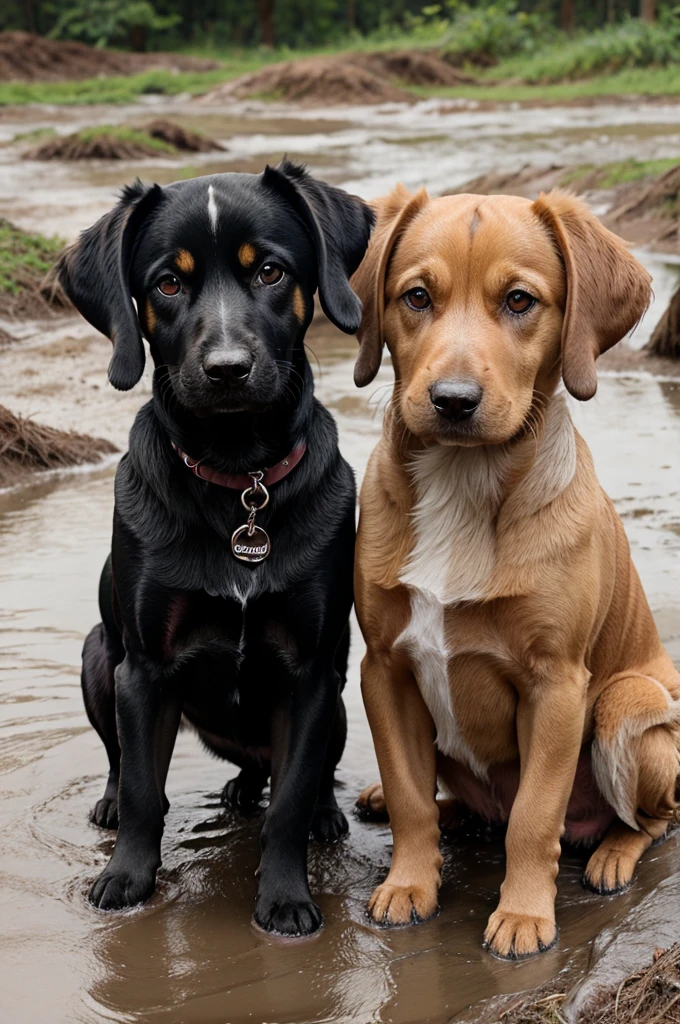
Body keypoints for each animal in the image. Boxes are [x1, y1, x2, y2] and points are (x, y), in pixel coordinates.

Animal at [59, 161, 372, 937]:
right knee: (121, 763)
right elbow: (145, 791)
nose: (228, 367)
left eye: (270, 270)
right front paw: (128, 878)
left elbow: (289, 800)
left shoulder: (309, 673)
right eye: (168, 283)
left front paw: (285, 897)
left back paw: (316, 812)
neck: (239, 483)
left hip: (338, 697)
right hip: (97, 657)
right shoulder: (144, 669)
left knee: (296, 775)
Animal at [350, 186, 680, 958]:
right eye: (416, 296)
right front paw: (410, 883)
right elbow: (410, 801)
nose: (452, 400)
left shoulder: (555, 684)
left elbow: (535, 816)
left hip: (627, 707)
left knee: (653, 820)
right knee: (441, 799)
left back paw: (612, 854)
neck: (463, 484)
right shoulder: (384, 668)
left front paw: (525, 913)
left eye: (521, 301)